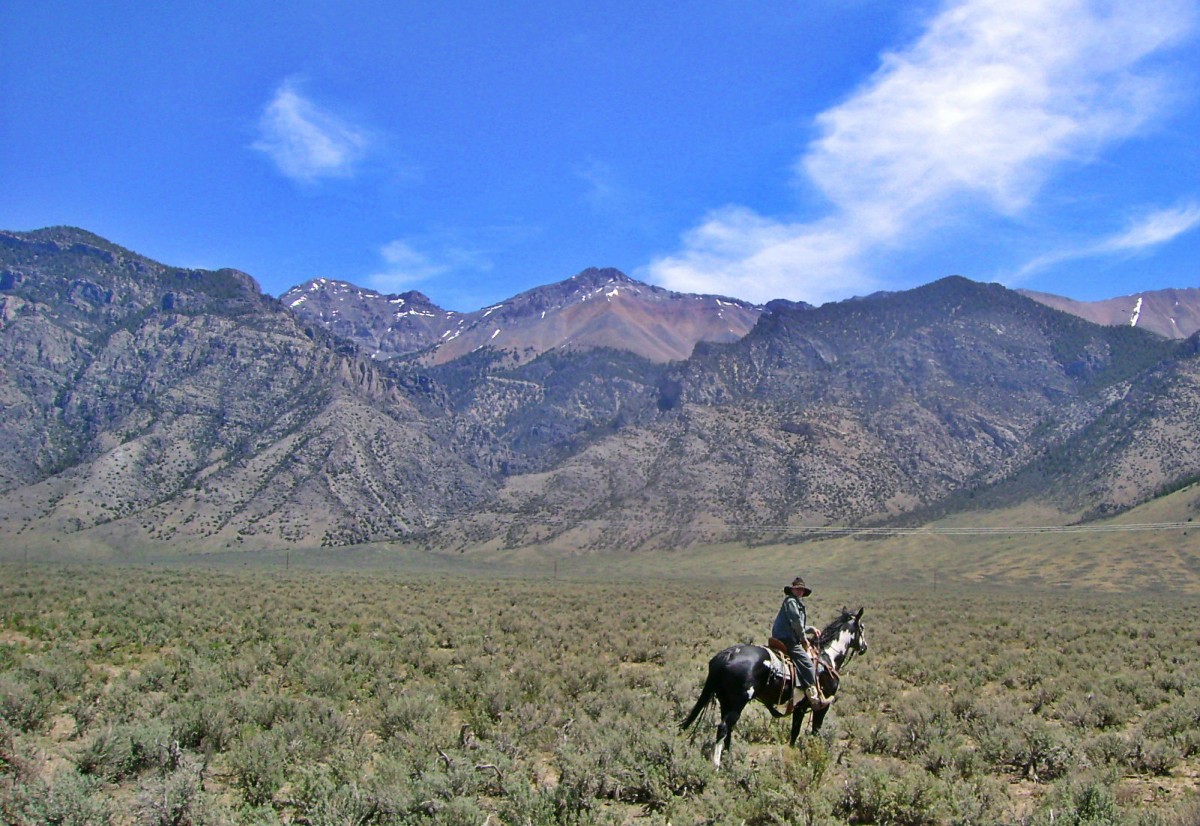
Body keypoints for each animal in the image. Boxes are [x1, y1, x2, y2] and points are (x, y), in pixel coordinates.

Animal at [681, 607, 868, 768]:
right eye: (862, 627)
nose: (864, 647)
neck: (827, 657)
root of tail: (727, 655)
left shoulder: (800, 708)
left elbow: (794, 732)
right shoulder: (821, 707)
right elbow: (815, 731)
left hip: (725, 702)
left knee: (728, 729)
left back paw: (729, 758)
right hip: (737, 703)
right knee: (723, 728)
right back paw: (717, 765)